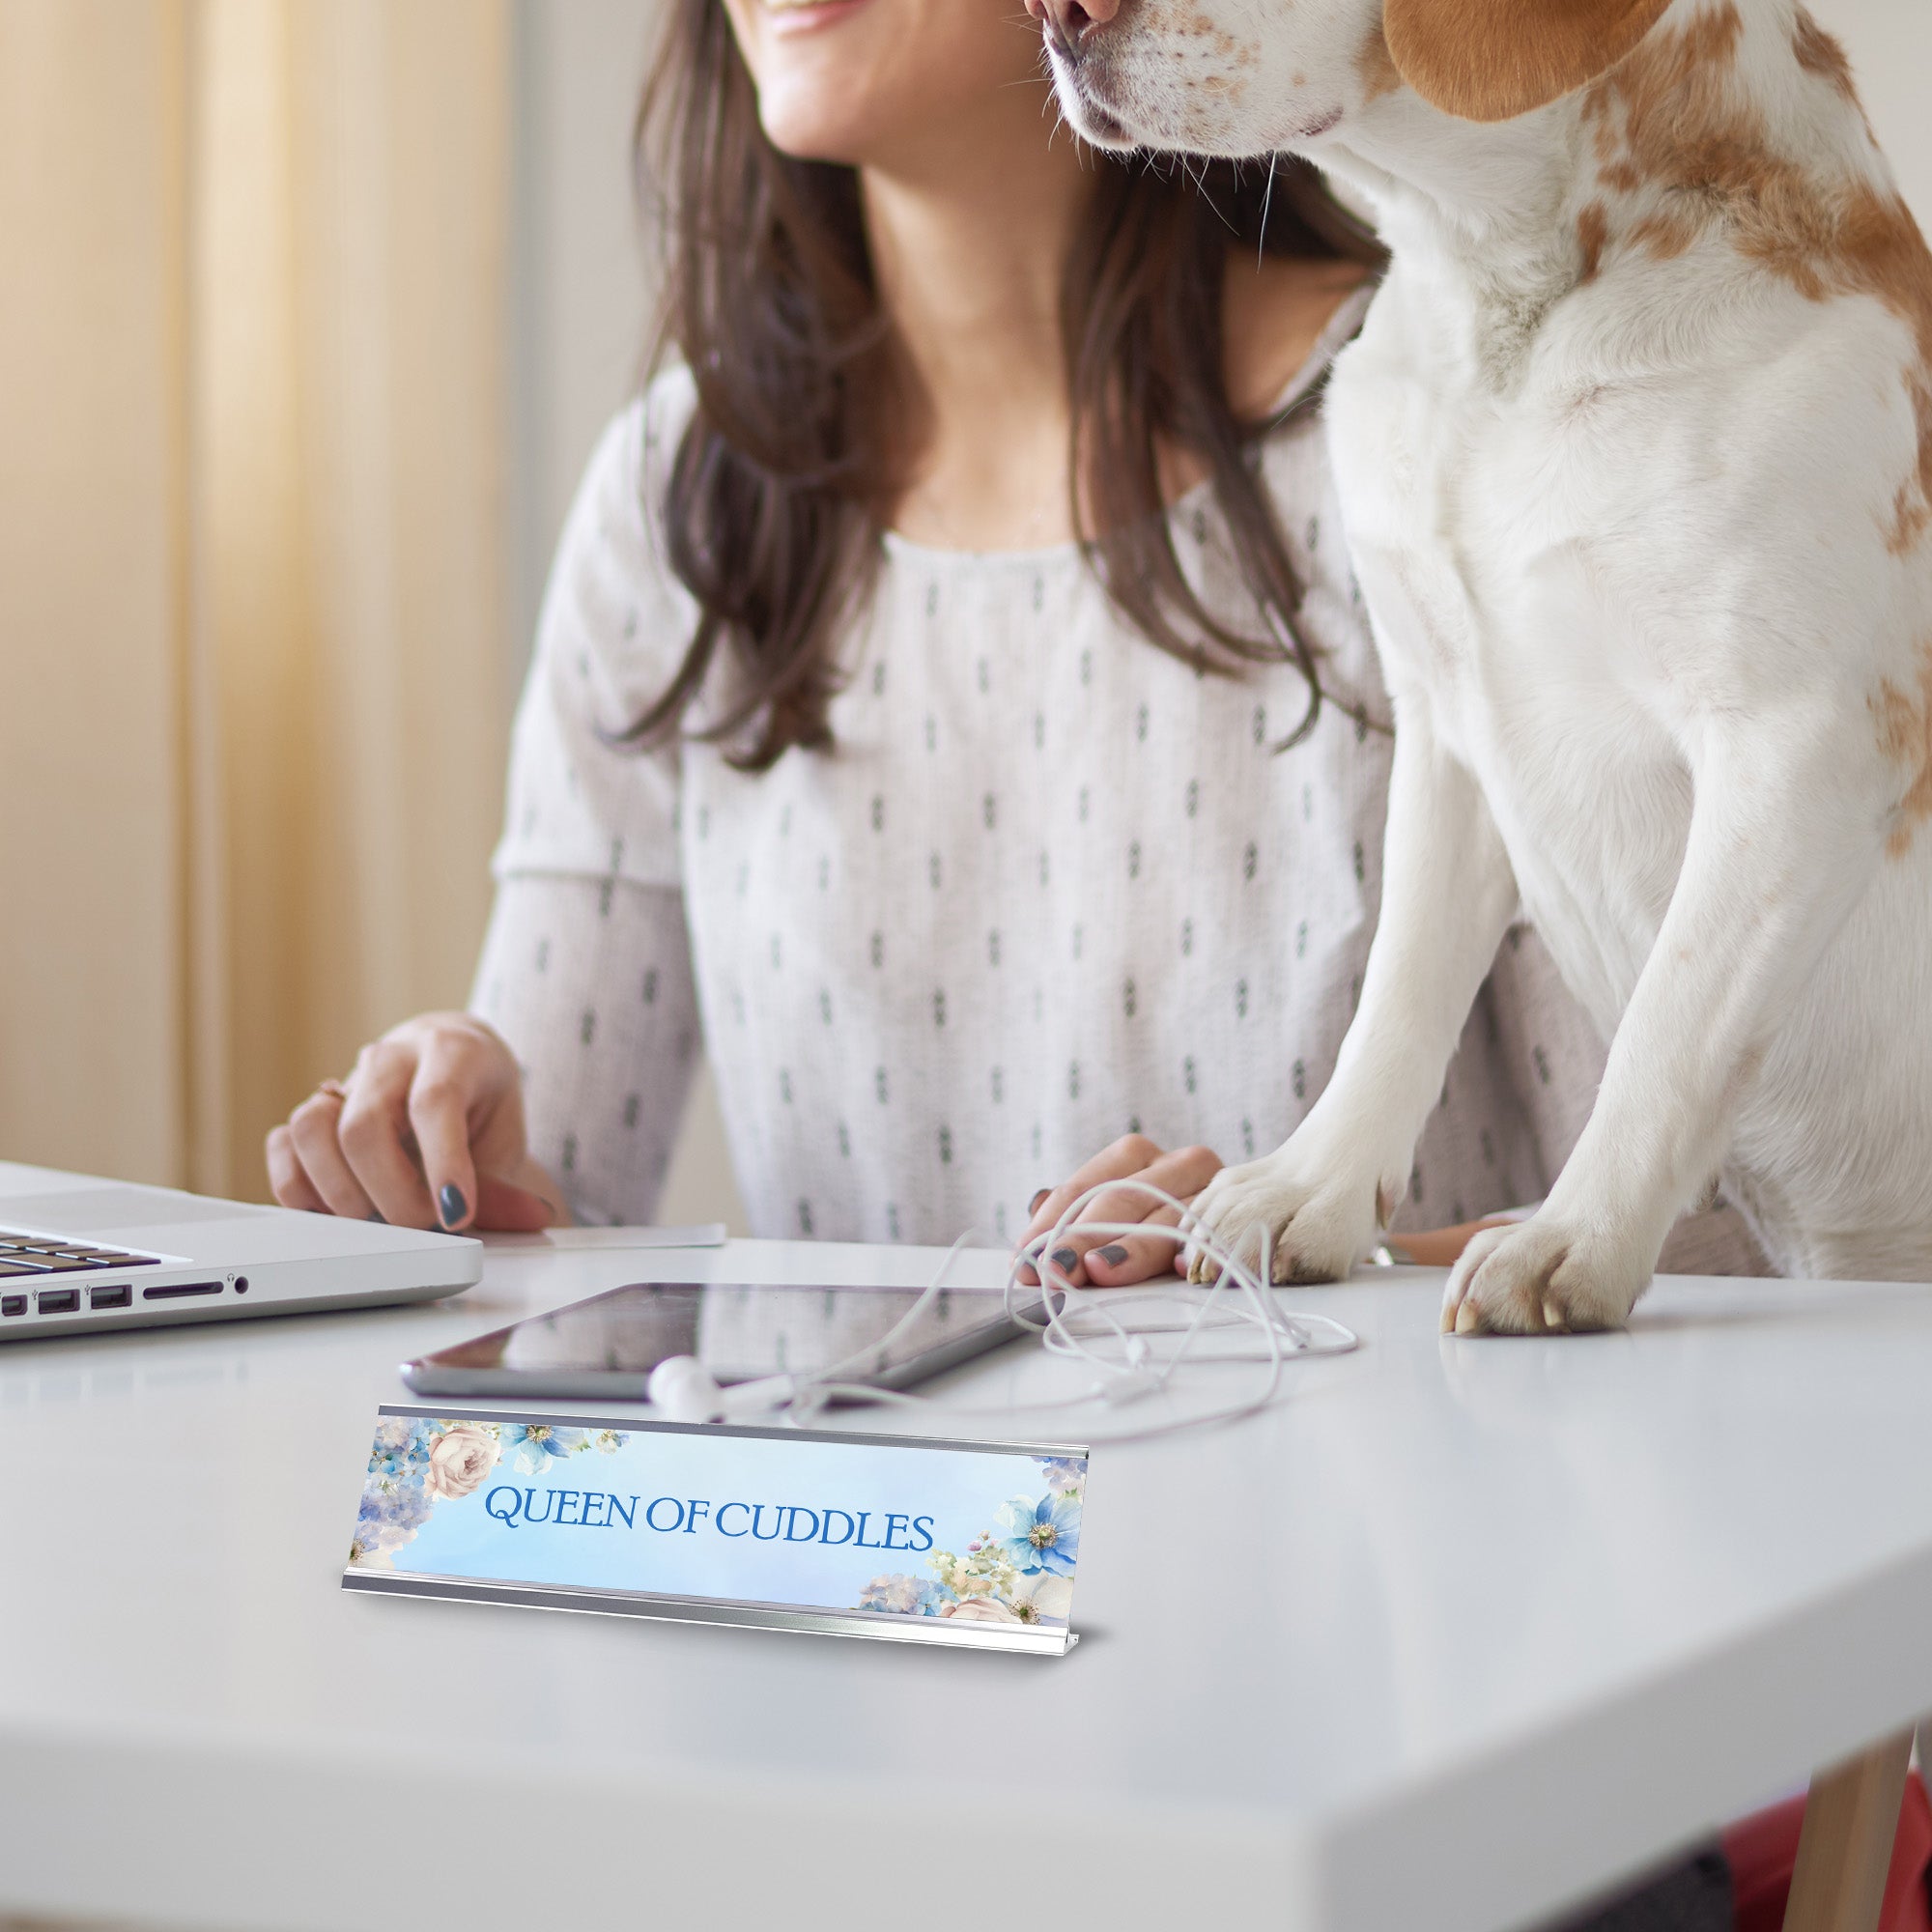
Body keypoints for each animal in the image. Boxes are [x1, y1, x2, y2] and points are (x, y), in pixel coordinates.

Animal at [1036, 0, 1932, 1329]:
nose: (1052, 16)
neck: (1500, 316)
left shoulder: (1798, 744)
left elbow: (1667, 1027)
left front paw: (1571, 1239)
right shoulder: (1445, 729)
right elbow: (1396, 993)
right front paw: (1308, 1188)